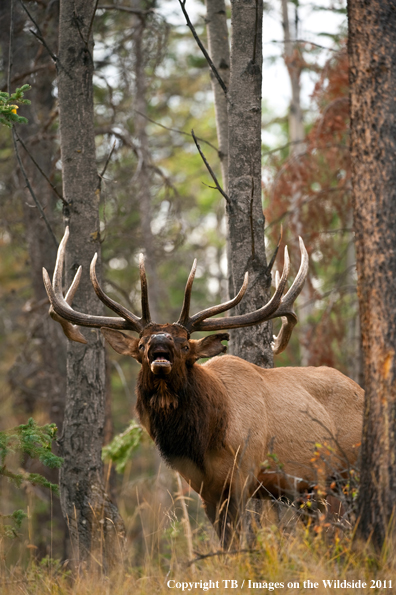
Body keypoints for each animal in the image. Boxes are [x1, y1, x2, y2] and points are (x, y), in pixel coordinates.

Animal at [42, 228, 362, 548]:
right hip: (309, 490)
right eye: (141, 345)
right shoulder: (204, 487)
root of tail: (359, 388)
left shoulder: (243, 474)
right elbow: (224, 542)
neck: (205, 439)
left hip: (347, 470)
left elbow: (238, 541)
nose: (160, 341)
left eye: (184, 344)